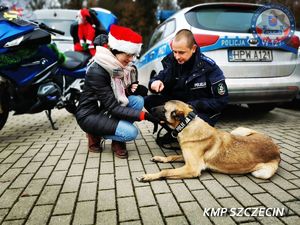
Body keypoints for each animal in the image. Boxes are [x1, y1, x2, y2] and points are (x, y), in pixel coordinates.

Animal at [137, 101, 280, 182]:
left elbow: (165, 171)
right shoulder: (186, 157)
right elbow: (172, 156)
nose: (149, 109)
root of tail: (276, 148)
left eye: (163, 109)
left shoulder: (192, 168)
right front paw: (160, 158)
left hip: (262, 173)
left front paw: (148, 176)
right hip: (238, 130)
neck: (187, 124)